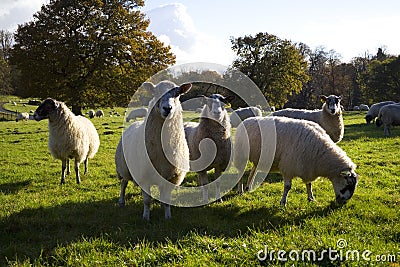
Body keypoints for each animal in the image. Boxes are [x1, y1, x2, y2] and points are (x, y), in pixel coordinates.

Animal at [114, 80, 192, 221]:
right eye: (155, 93)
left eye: (177, 93)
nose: (167, 108)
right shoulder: (144, 177)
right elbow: (147, 201)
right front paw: (146, 218)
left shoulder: (171, 177)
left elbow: (167, 201)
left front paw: (168, 217)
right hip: (123, 168)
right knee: (123, 183)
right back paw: (121, 201)